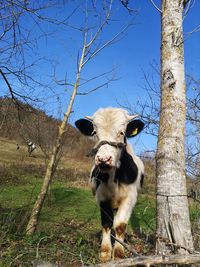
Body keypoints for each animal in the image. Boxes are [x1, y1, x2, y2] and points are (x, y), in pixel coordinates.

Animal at [75, 108, 144, 262]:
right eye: (94, 133)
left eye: (122, 132)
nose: (103, 159)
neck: (114, 177)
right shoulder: (102, 196)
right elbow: (106, 223)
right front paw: (105, 252)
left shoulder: (130, 197)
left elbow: (120, 225)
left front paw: (118, 254)